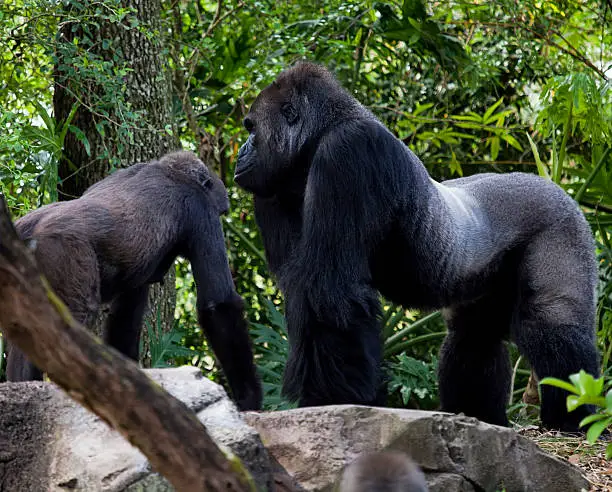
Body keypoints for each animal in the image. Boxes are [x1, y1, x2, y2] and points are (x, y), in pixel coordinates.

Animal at [7, 150, 262, 412]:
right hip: (63, 249)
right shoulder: (202, 212)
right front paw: (249, 397)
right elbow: (218, 305)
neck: (170, 171)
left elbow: (125, 318)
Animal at [237, 61, 600, 430]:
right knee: (474, 333)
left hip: (562, 224)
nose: (240, 153)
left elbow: (329, 287)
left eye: (251, 128)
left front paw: (335, 397)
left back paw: (574, 416)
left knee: (551, 321)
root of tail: (558, 190)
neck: (321, 132)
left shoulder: (349, 150)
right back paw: (479, 413)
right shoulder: (272, 187)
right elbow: (305, 287)